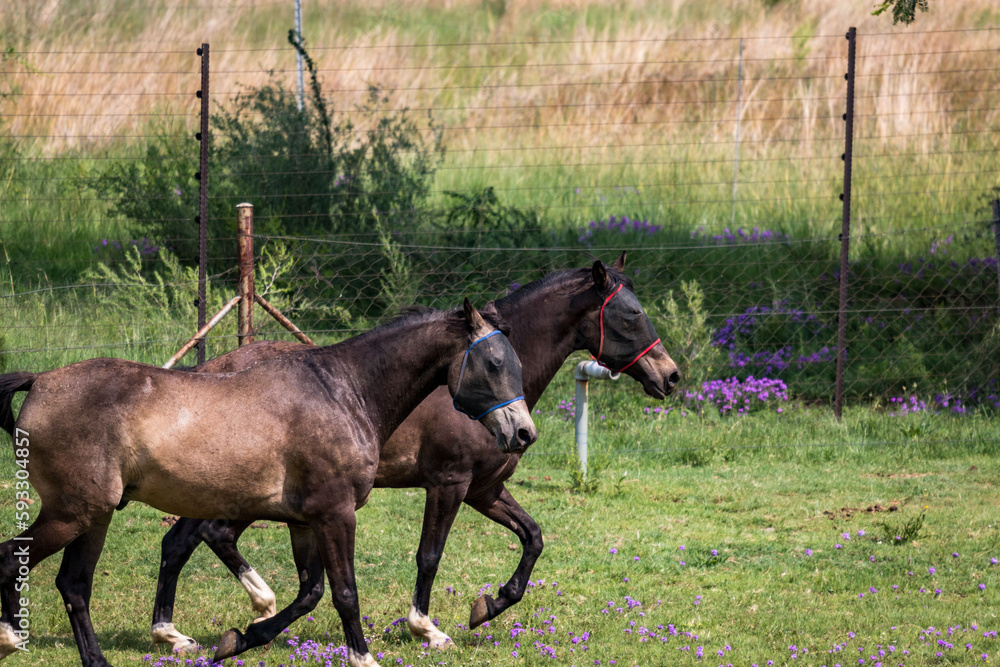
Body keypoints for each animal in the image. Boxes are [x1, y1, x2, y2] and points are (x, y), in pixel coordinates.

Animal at [0, 299, 536, 667]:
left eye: (516, 362)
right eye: (493, 363)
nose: (523, 433)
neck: (343, 391)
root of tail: (41, 382)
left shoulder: (305, 521)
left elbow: (310, 593)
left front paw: (236, 640)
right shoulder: (336, 513)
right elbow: (345, 593)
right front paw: (365, 657)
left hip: (94, 517)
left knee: (73, 584)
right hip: (74, 514)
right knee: (17, 561)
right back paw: (12, 638)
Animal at [148, 254, 680, 658]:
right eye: (631, 315)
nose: (671, 376)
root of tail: (209, 371)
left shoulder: (485, 490)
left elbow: (532, 537)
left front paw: (488, 605)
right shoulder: (449, 483)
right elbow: (430, 555)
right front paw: (427, 628)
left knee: (181, 542)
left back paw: (179, 634)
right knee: (206, 537)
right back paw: (249, 608)